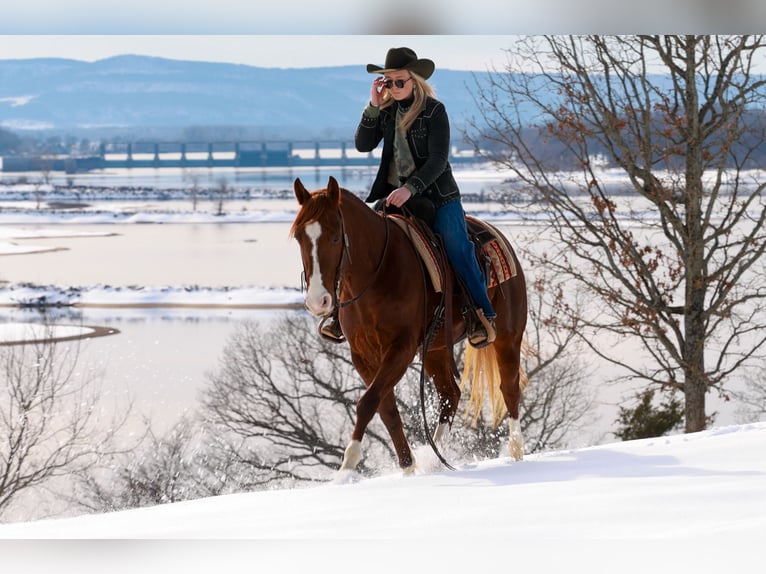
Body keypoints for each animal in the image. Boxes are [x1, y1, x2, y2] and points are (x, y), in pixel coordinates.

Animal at [290, 176, 528, 475]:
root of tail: (497, 234)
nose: (317, 301)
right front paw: (408, 467)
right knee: (450, 393)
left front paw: (348, 463)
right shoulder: (363, 354)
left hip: (508, 337)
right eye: (299, 237)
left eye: (335, 237)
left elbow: (368, 402)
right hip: (435, 348)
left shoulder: (401, 349)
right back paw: (437, 459)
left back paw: (516, 451)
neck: (377, 271)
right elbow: (386, 408)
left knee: (509, 388)